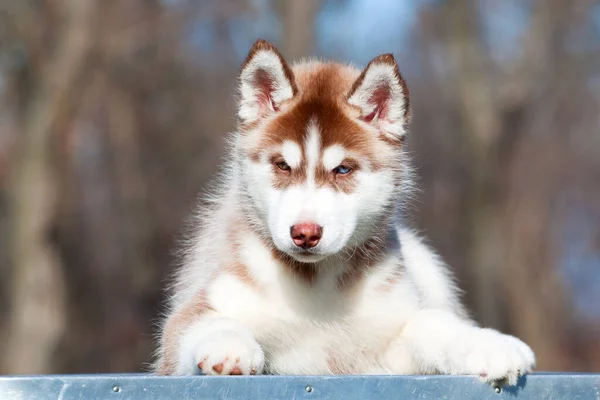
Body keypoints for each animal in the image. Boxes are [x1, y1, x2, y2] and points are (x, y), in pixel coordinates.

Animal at [154, 39, 536, 384]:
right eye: (282, 165)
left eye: (343, 170)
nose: (305, 233)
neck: (315, 283)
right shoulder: (192, 320)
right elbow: (205, 321)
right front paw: (228, 345)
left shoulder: (388, 340)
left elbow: (434, 323)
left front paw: (487, 343)